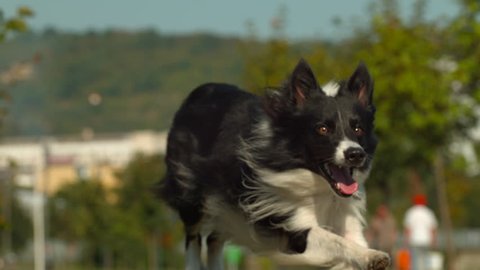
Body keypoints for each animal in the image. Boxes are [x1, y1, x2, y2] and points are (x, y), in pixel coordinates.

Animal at [160, 59, 390, 270]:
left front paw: (368, 254)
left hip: (226, 207)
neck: (319, 187)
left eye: (358, 129)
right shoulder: (291, 227)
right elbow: (335, 241)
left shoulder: (347, 217)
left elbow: (350, 240)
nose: (355, 154)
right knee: (193, 236)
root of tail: (198, 92)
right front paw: (371, 256)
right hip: (191, 194)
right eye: (323, 129)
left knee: (213, 238)